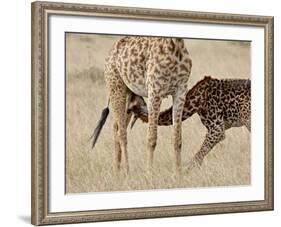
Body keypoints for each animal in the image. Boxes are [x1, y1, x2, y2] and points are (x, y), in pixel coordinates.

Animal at [91, 36, 191, 174]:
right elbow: (152, 138)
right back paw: (127, 172)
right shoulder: (155, 91)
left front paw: (178, 175)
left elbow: (177, 138)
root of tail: (110, 53)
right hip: (116, 88)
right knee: (122, 133)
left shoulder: (181, 91)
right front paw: (149, 174)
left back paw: (116, 172)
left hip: (128, 97)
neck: (175, 45)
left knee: (116, 128)